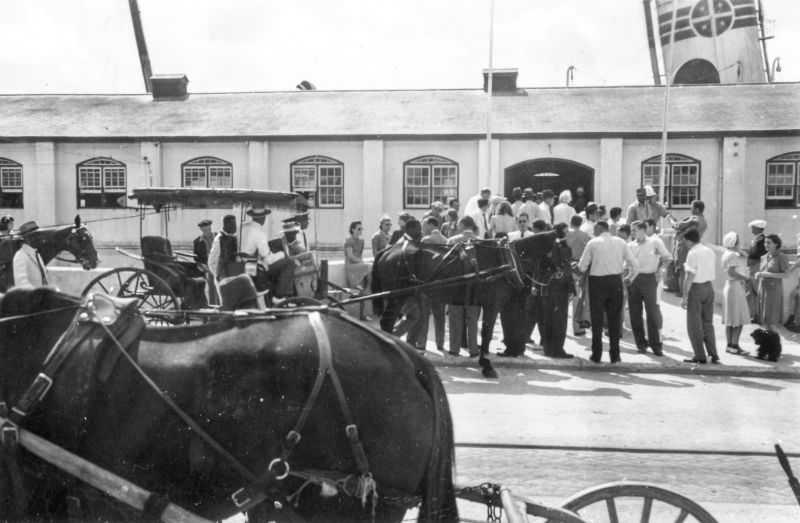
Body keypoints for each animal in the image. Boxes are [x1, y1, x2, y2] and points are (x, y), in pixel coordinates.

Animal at [370, 232, 552, 376]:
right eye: (560, 249)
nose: (537, 289)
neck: (506, 259)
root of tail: (388, 249)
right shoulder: (492, 305)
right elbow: (486, 334)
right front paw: (486, 365)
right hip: (396, 297)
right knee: (386, 323)